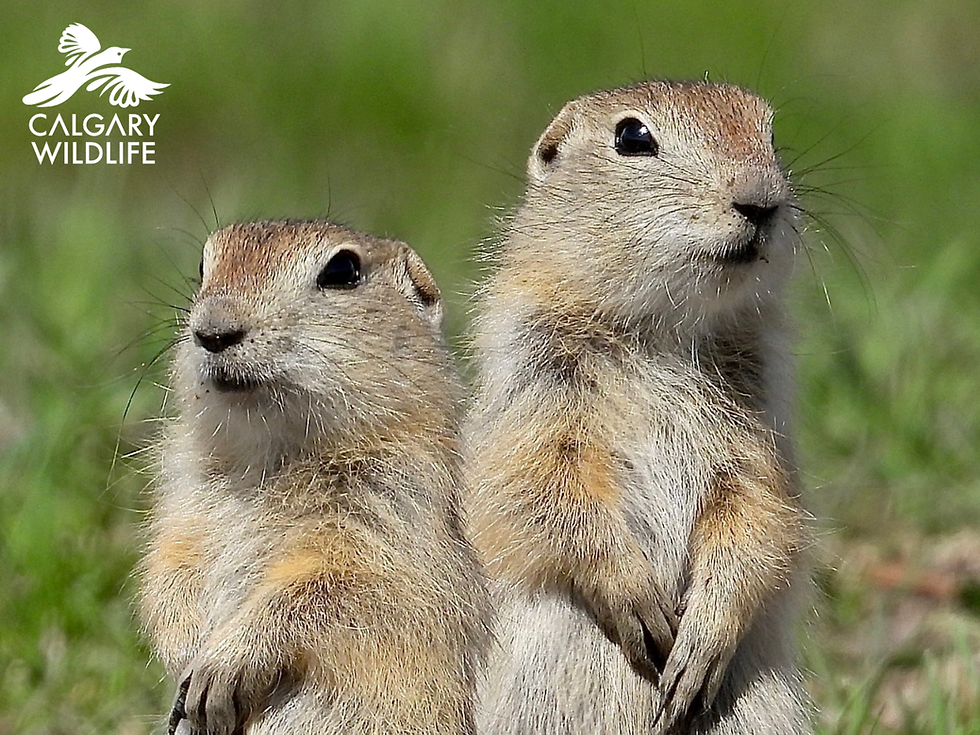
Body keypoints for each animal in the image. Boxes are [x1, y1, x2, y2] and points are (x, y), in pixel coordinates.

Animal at [138, 220, 490, 735]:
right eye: (204, 266)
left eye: (343, 270)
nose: (212, 332)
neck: (270, 454)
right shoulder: (185, 507)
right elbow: (171, 570)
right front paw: (185, 658)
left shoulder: (387, 516)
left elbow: (327, 590)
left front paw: (217, 670)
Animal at [465, 81, 811, 734]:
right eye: (631, 137)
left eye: (772, 133)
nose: (762, 201)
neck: (664, 332)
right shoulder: (532, 394)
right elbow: (543, 492)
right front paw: (639, 602)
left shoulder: (762, 428)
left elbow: (761, 511)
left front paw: (700, 643)